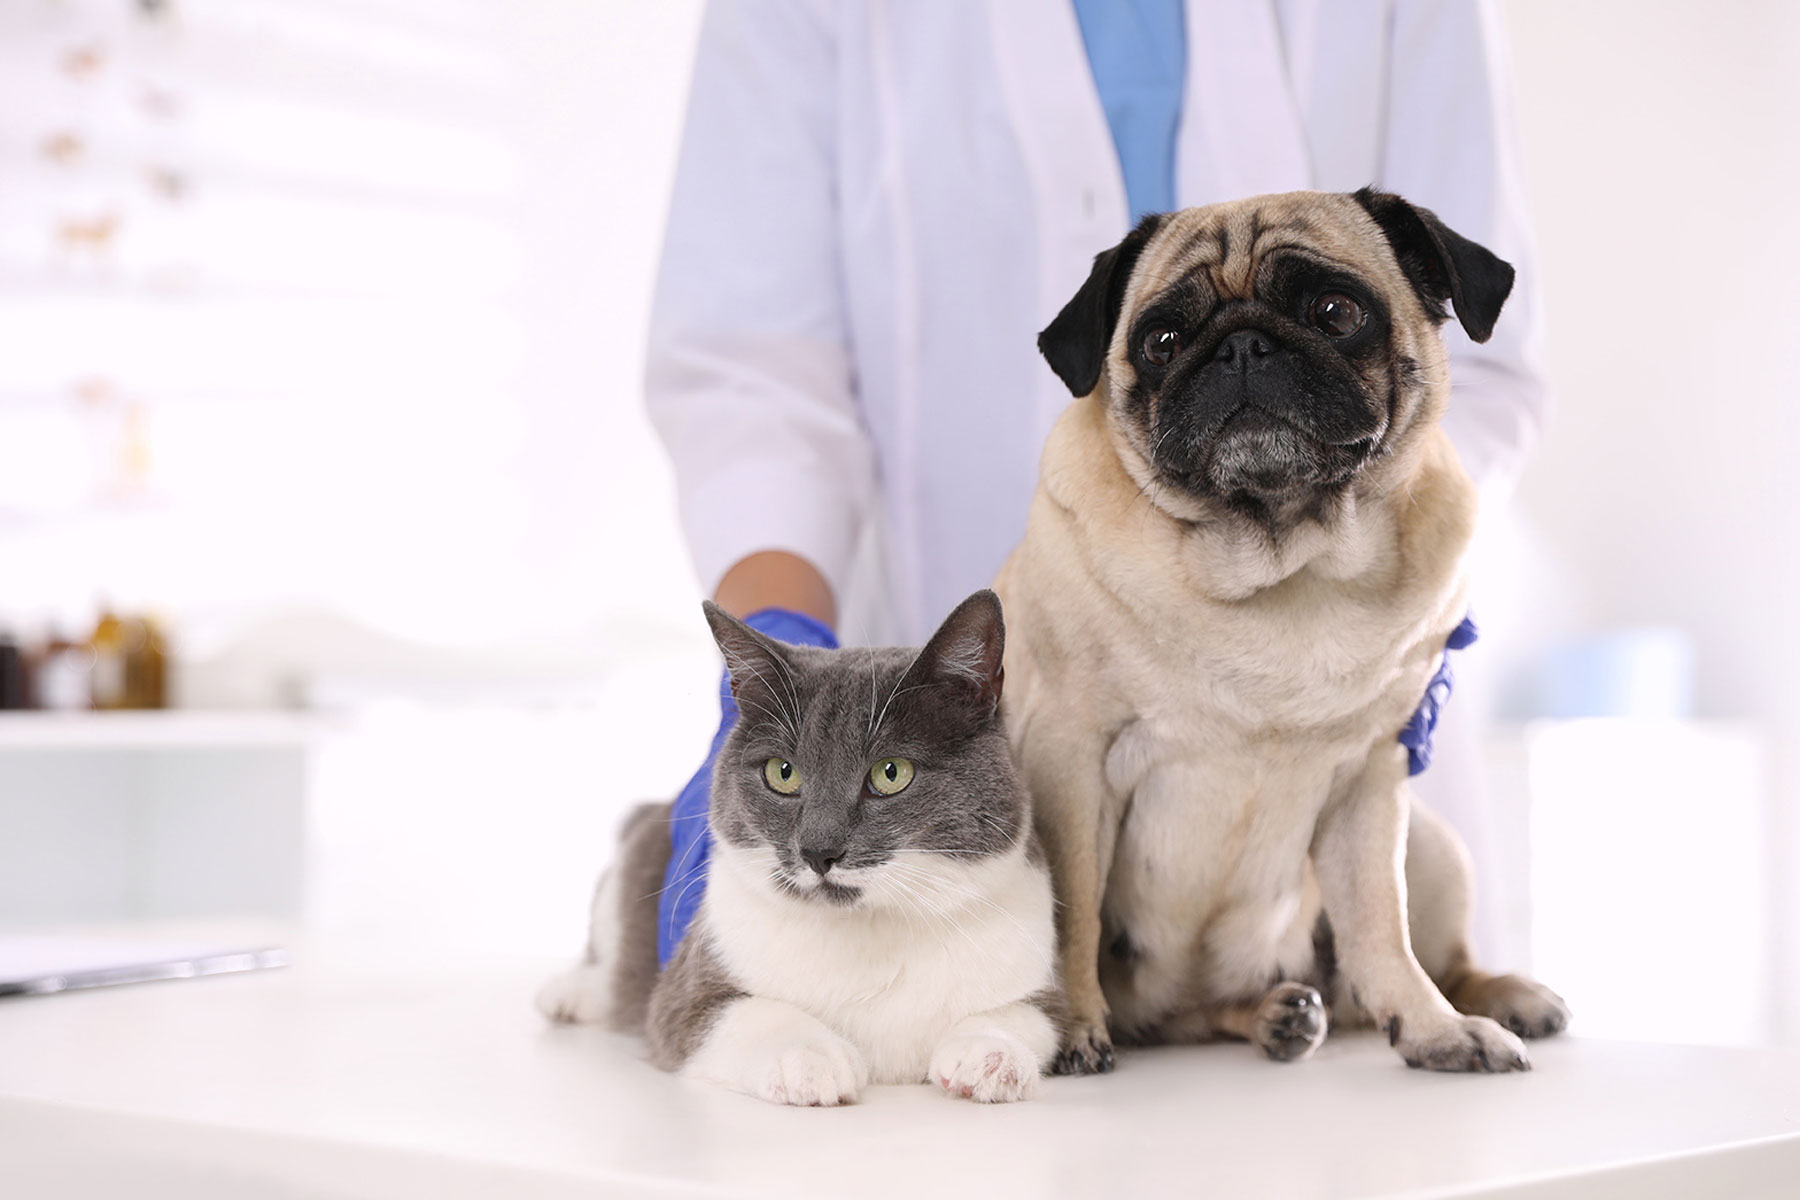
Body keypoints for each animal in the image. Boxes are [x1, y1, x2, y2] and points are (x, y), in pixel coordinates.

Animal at [540, 590, 1058, 1108]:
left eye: (891, 773)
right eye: (782, 773)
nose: (818, 850)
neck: (871, 930)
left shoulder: (1040, 972)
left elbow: (1028, 1016)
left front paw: (990, 1053)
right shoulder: (687, 992)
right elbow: (734, 1013)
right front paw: (809, 1057)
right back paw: (574, 993)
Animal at [993, 189, 1569, 1079]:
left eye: (1336, 312)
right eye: (1162, 342)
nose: (1241, 346)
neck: (1283, 561)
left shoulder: (1374, 778)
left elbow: (1380, 925)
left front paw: (1432, 1028)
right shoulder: (1069, 758)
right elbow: (1073, 913)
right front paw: (1070, 1026)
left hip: (1431, 844)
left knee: (1430, 956)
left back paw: (1484, 998)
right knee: (1178, 1013)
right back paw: (1267, 1015)